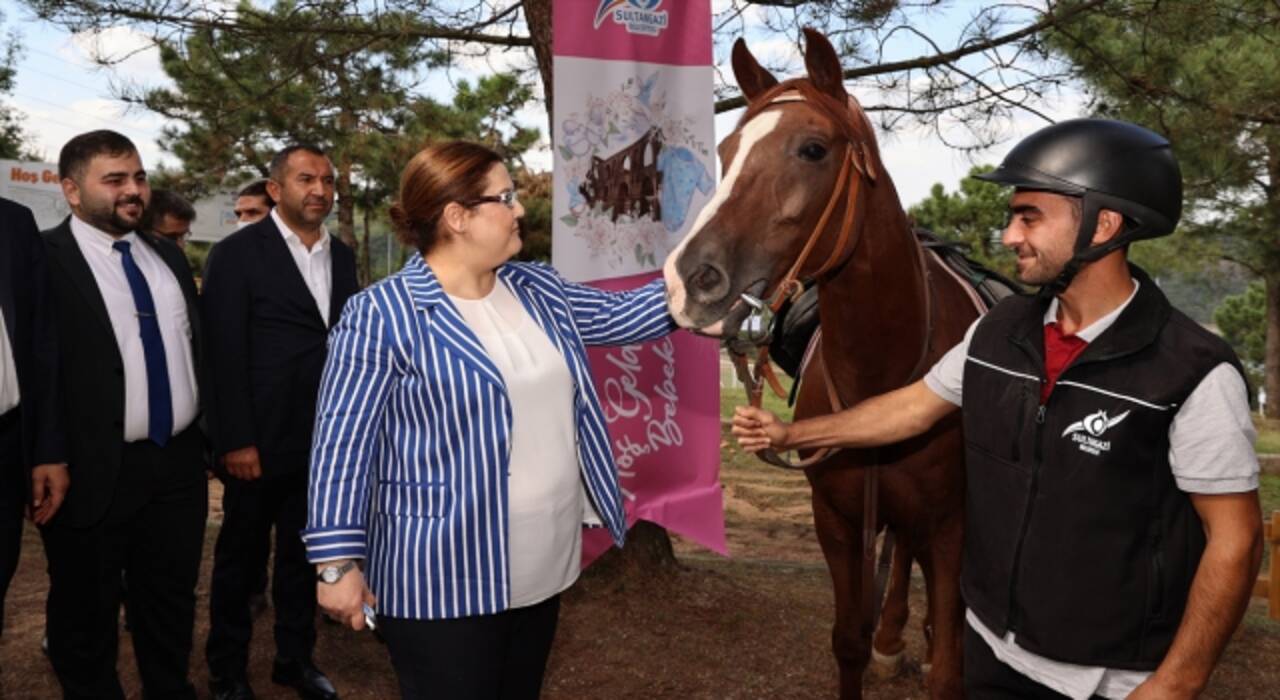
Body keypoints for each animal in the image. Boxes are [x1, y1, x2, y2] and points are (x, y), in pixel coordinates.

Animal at [660, 28, 977, 700]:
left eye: (813, 149)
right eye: (726, 150)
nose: (689, 280)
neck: (883, 374)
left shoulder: (952, 526)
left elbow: (949, 666)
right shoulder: (834, 520)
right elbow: (848, 642)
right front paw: (877, 644)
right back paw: (893, 639)